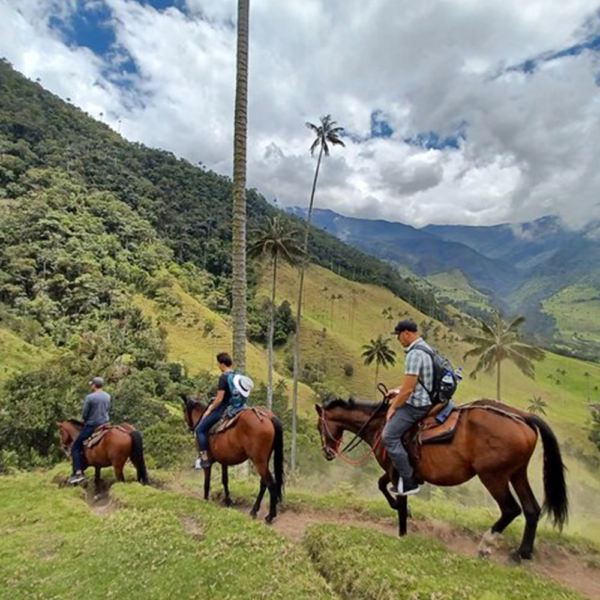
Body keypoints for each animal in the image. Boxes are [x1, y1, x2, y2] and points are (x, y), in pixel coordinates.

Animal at [316, 398, 568, 564]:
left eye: (319, 426)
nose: (327, 452)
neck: (381, 424)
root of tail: (523, 417)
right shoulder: (395, 470)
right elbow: (382, 485)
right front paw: (400, 509)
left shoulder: (397, 468)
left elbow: (398, 496)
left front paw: (402, 531)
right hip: (517, 473)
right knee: (532, 509)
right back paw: (521, 553)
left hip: (493, 476)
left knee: (511, 509)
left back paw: (486, 545)